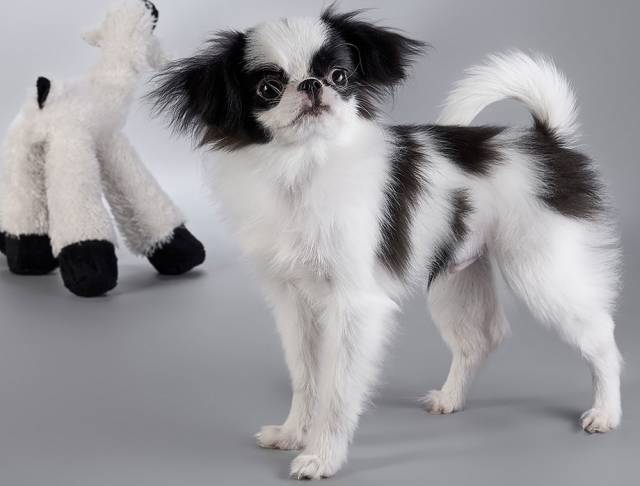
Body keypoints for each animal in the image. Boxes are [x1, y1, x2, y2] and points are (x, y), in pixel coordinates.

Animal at [151, 6, 622, 479]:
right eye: (268, 88)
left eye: (339, 76)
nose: (312, 85)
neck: (304, 166)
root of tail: (546, 141)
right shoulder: (293, 303)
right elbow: (306, 377)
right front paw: (293, 434)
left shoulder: (354, 305)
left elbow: (338, 389)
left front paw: (322, 457)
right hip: (457, 277)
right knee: (480, 340)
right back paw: (450, 399)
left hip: (540, 271)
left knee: (601, 336)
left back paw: (606, 412)